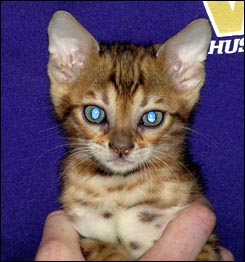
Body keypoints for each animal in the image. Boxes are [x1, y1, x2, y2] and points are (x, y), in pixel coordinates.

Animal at [47, 9, 220, 260]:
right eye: (94, 113)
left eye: (152, 118)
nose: (121, 147)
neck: (120, 187)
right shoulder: (84, 231)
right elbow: (107, 251)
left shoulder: (207, 242)